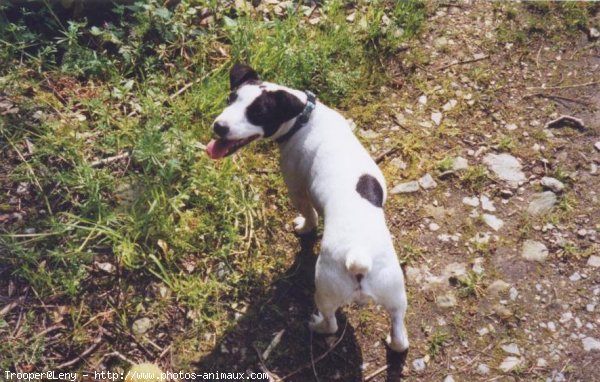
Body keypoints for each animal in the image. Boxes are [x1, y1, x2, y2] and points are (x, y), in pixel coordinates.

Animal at [205, 62, 408, 352]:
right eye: (230, 98)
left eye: (258, 113)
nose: (219, 126)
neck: (305, 117)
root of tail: (359, 259)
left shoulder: (297, 188)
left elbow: (309, 216)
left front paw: (304, 227)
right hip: (395, 294)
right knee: (400, 333)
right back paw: (394, 340)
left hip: (324, 288)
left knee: (331, 322)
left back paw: (316, 325)